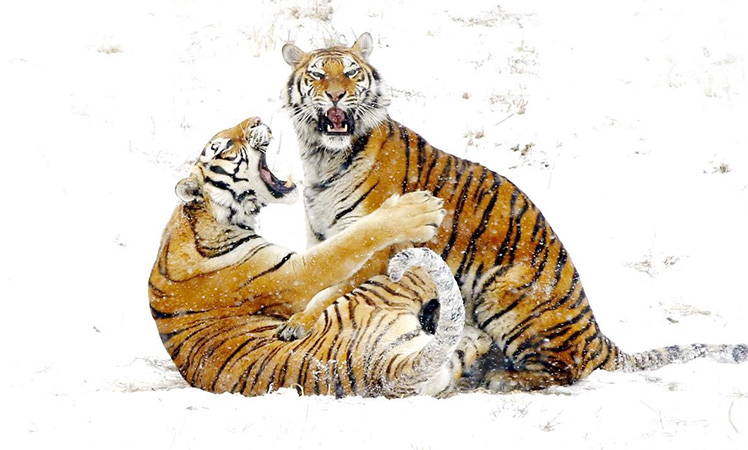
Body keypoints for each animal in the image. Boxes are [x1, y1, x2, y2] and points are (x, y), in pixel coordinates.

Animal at [147, 116, 491, 397]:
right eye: (222, 147)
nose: (255, 119)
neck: (205, 217)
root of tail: (386, 371)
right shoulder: (296, 273)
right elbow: (354, 238)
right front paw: (415, 210)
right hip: (394, 280)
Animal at [280, 33, 747, 391]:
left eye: (351, 72)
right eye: (318, 74)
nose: (336, 93)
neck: (323, 158)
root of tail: (597, 335)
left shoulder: (380, 249)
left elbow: (331, 290)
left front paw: (297, 324)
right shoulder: (324, 235)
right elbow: (319, 277)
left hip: (503, 292)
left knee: (565, 370)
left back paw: (504, 378)